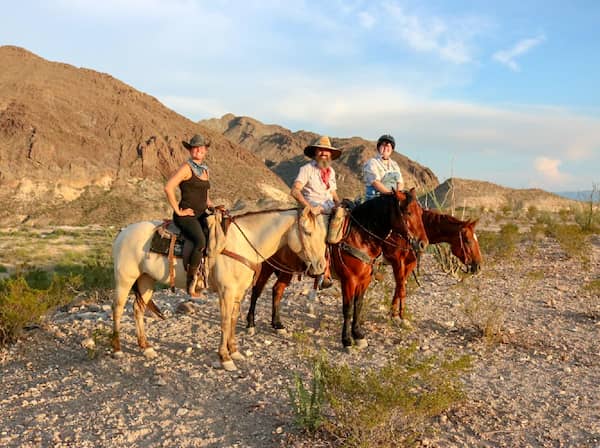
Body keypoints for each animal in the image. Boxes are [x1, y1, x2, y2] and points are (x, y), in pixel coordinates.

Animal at [112, 206, 328, 372]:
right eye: (308, 232)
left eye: (324, 236)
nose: (320, 266)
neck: (244, 243)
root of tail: (123, 232)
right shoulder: (226, 292)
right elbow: (224, 322)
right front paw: (225, 358)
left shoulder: (239, 293)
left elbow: (232, 320)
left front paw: (234, 351)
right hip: (125, 280)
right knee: (118, 310)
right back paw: (117, 348)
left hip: (146, 280)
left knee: (138, 310)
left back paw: (146, 347)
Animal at [244, 189, 426, 350]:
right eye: (408, 212)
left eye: (421, 212)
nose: (423, 243)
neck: (359, 236)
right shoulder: (349, 280)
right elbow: (348, 309)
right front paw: (347, 341)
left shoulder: (364, 280)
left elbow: (358, 306)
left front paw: (358, 335)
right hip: (267, 266)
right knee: (257, 290)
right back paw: (250, 324)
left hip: (286, 270)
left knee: (277, 290)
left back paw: (278, 325)